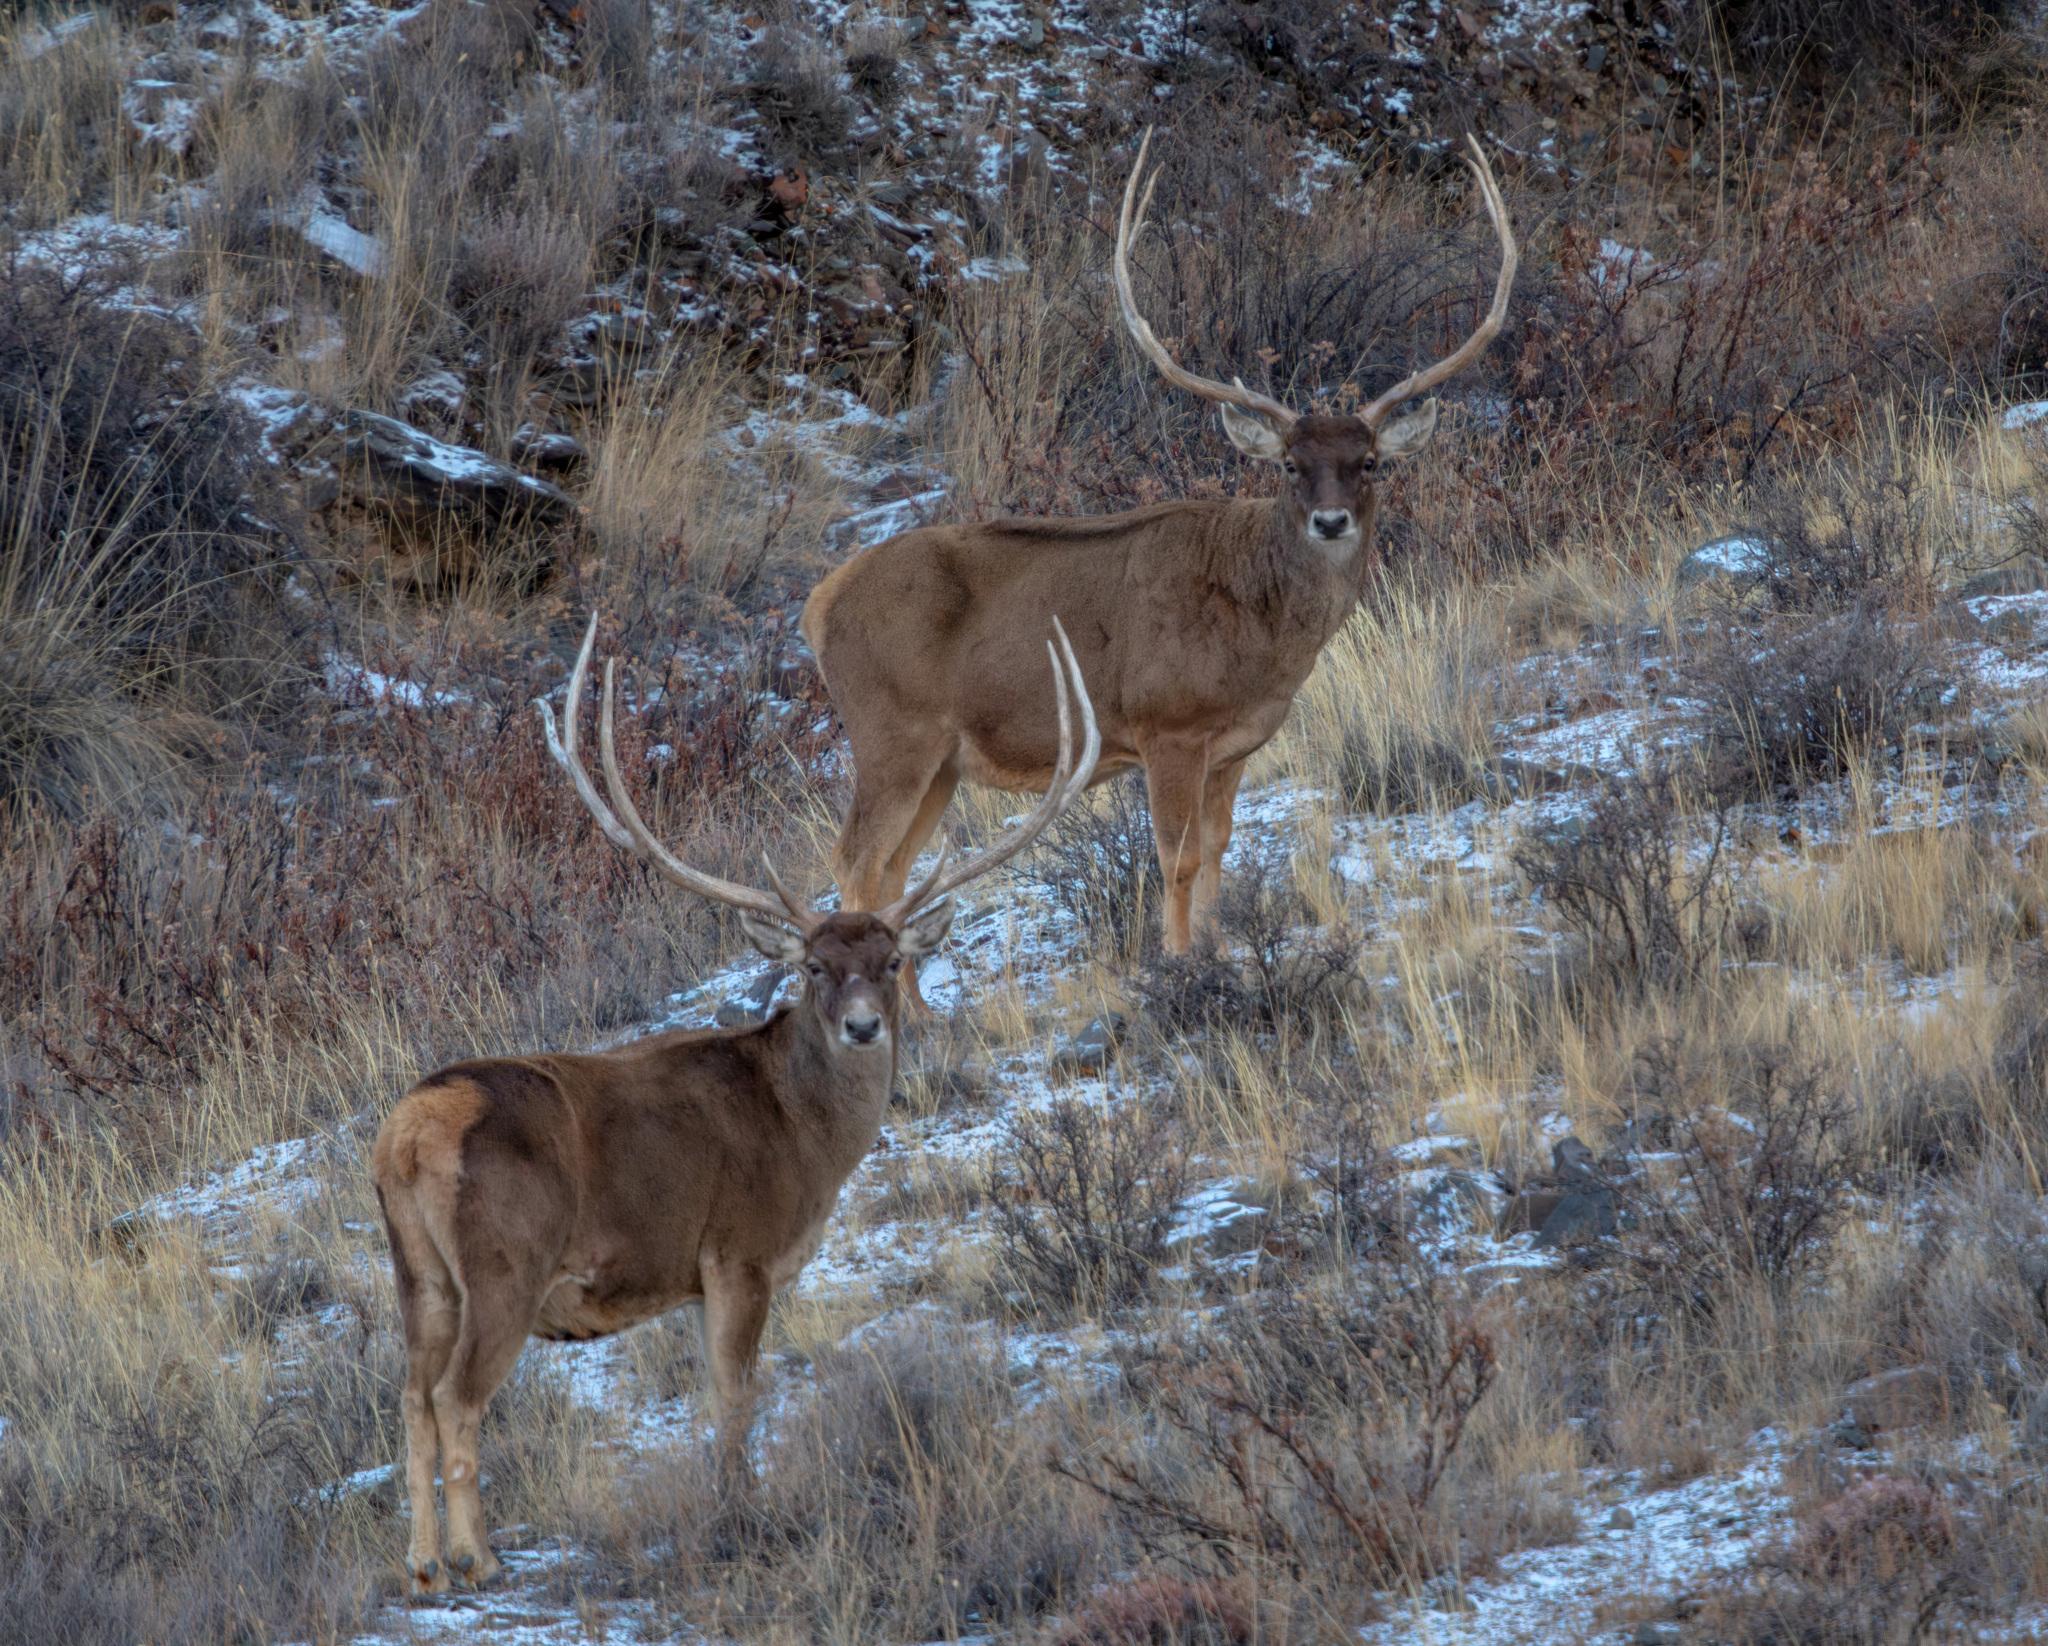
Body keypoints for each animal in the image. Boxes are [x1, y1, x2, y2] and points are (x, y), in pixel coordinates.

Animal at [370, 612, 1098, 1595]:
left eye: (890, 961)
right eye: (814, 966)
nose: (865, 1026)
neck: (800, 1133)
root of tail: (407, 1137)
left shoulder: (692, 1273)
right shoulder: (738, 1250)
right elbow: (737, 1395)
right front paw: (737, 1510)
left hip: (417, 1272)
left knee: (411, 1393)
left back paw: (419, 1563)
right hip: (503, 1261)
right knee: (456, 1396)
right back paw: (476, 1557)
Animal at [802, 132, 1515, 977]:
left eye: (1370, 460)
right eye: (1289, 463)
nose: (1331, 520)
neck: (1260, 635)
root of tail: (819, 605)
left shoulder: (1236, 745)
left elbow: (1217, 854)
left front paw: (1216, 949)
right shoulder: (1165, 723)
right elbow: (1175, 858)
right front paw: (1178, 965)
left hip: (942, 760)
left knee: (893, 870)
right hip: (891, 730)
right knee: (853, 860)